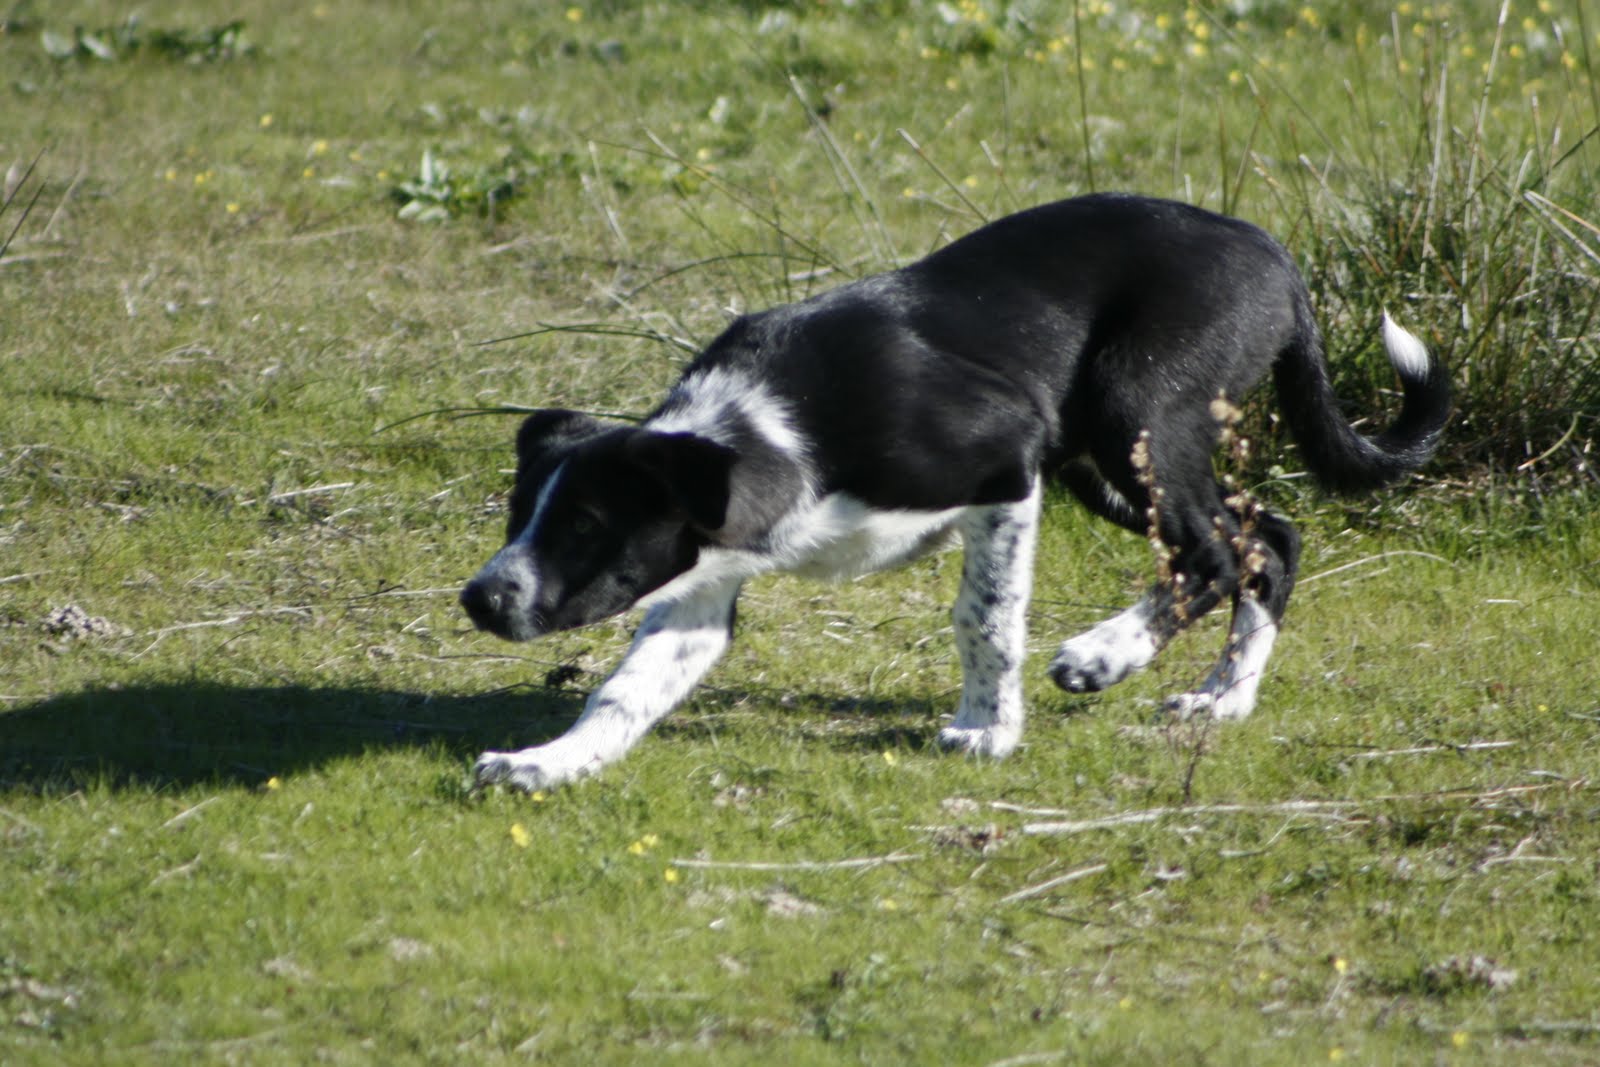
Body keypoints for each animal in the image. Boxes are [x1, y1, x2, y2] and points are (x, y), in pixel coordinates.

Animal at [460, 191, 1452, 793]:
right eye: (520, 513)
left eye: (586, 523)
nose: (480, 597)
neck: (766, 429)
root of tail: (1274, 254)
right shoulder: (702, 580)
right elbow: (626, 689)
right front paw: (550, 761)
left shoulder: (1003, 472)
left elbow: (985, 619)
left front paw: (989, 730)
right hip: (1107, 463)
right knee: (1267, 540)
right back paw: (1222, 700)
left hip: (1132, 413)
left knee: (1209, 553)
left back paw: (1105, 655)